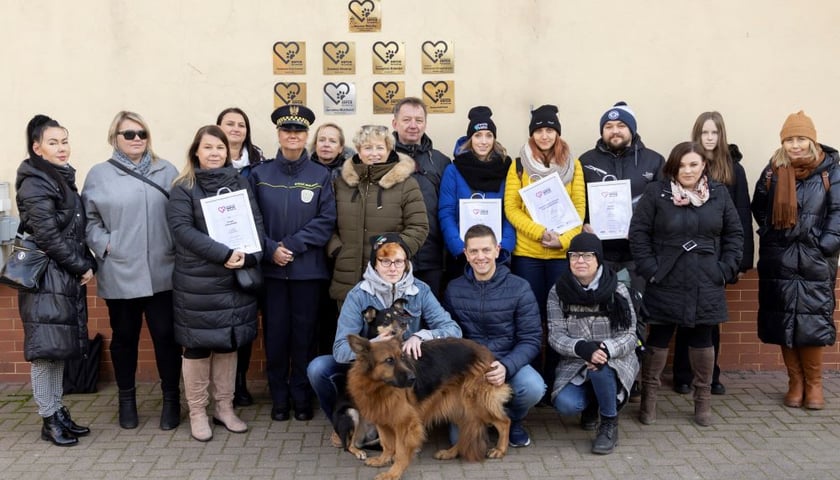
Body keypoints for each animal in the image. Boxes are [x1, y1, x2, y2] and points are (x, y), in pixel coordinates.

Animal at [334, 298, 414, 460]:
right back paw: (359, 452)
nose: (405, 322)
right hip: (351, 413)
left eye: (399, 314)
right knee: (350, 445)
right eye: (387, 319)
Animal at [346, 332, 512, 480]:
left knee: (504, 422)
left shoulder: (406, 424)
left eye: (402, 358)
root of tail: (484, 350)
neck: (378, 387)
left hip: (476, 405)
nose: (413, 378)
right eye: (389, 360)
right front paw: (382, 460)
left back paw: (499, 449)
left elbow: (400, 452)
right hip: (457, 407)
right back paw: (451, 453)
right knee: (466, 430)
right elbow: (387, 444)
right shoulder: (382, 419)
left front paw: (393, 474)